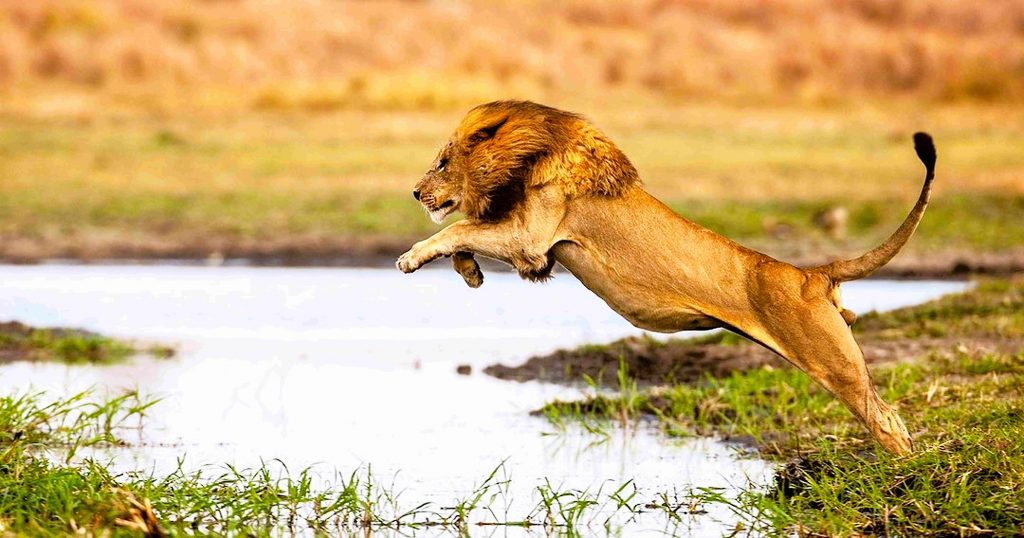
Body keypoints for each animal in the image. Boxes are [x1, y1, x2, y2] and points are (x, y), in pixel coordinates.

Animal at [398, 100, 937, 455]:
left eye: (442, 162)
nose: (416, 193)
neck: (531, 153)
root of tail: (811, 274)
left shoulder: (532, 237)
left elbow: (460, 226)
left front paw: (411, 258)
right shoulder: (535, 251)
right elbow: (465, 234)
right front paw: (469, 272)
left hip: (832, 360)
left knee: (885, 417)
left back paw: (903, 474)